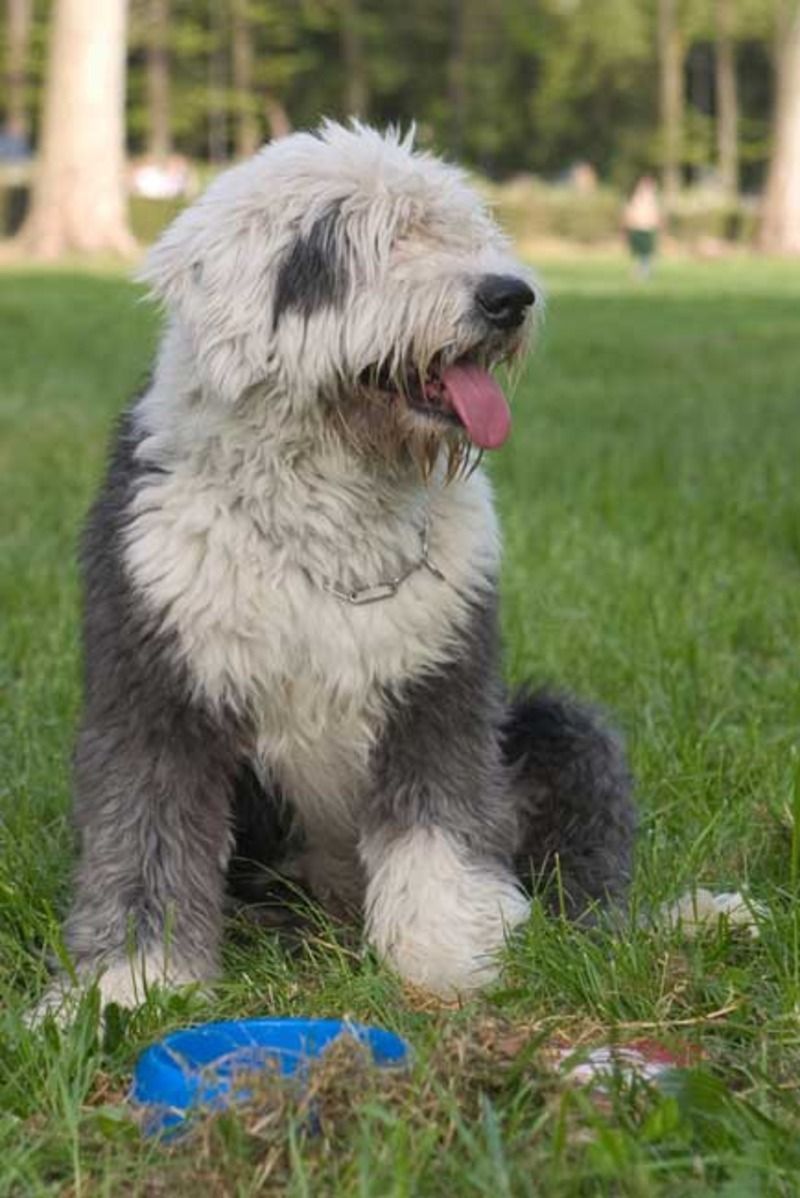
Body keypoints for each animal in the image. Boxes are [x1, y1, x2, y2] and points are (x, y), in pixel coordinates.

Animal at [34, 123, 632, 1020]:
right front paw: (131, 983)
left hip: (559, 730)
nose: (509, 296)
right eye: (374, 242)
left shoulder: (439, 687)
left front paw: (448, 953)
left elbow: (438, 821)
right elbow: (145, 835)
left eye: (464, 227)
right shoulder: (158, 694)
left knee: (588, 869)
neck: (327, 513)